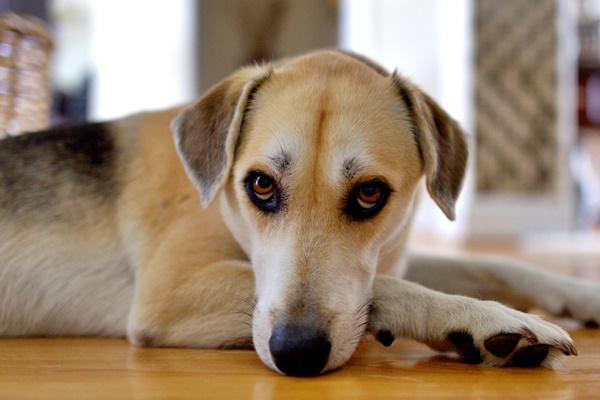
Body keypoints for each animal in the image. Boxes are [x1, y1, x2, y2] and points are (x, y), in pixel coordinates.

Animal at [1, 50, 600, 376]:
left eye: (370, 194)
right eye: (260, 185)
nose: (297, 353)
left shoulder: (395, 249)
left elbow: (497, 264)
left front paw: (580, 296)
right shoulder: (169, 291)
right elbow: (387, 288)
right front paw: (485, 321)